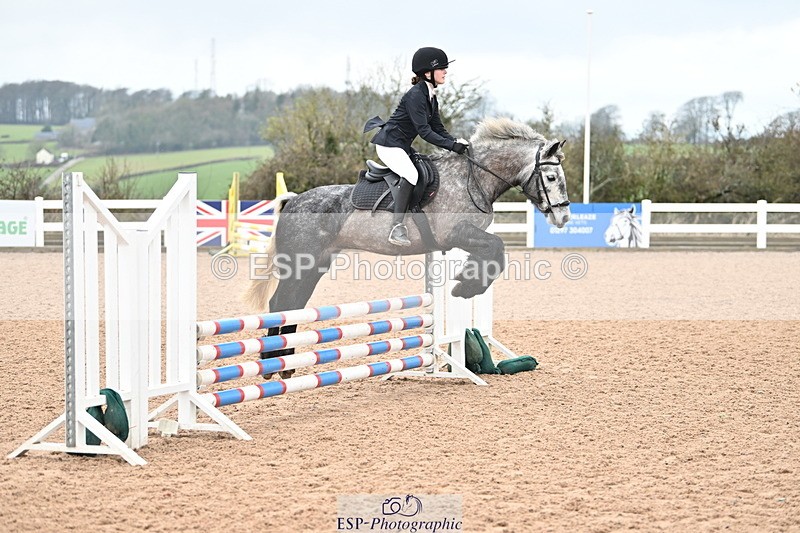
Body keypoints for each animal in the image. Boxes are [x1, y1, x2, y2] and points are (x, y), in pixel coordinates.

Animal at [247, 117, 571, 378]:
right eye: (551, 177)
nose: (563, 217)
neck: (473, 177)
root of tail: (293, 200)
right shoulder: (456, 233)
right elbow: (497, 248)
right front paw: (466, 286)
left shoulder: (466, 236)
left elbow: (493, 254)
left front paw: (468, 280)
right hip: (300, 263)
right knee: (280, 304)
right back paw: (270, 363)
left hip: (315, 266)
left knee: (294, 305)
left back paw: (286, 365)